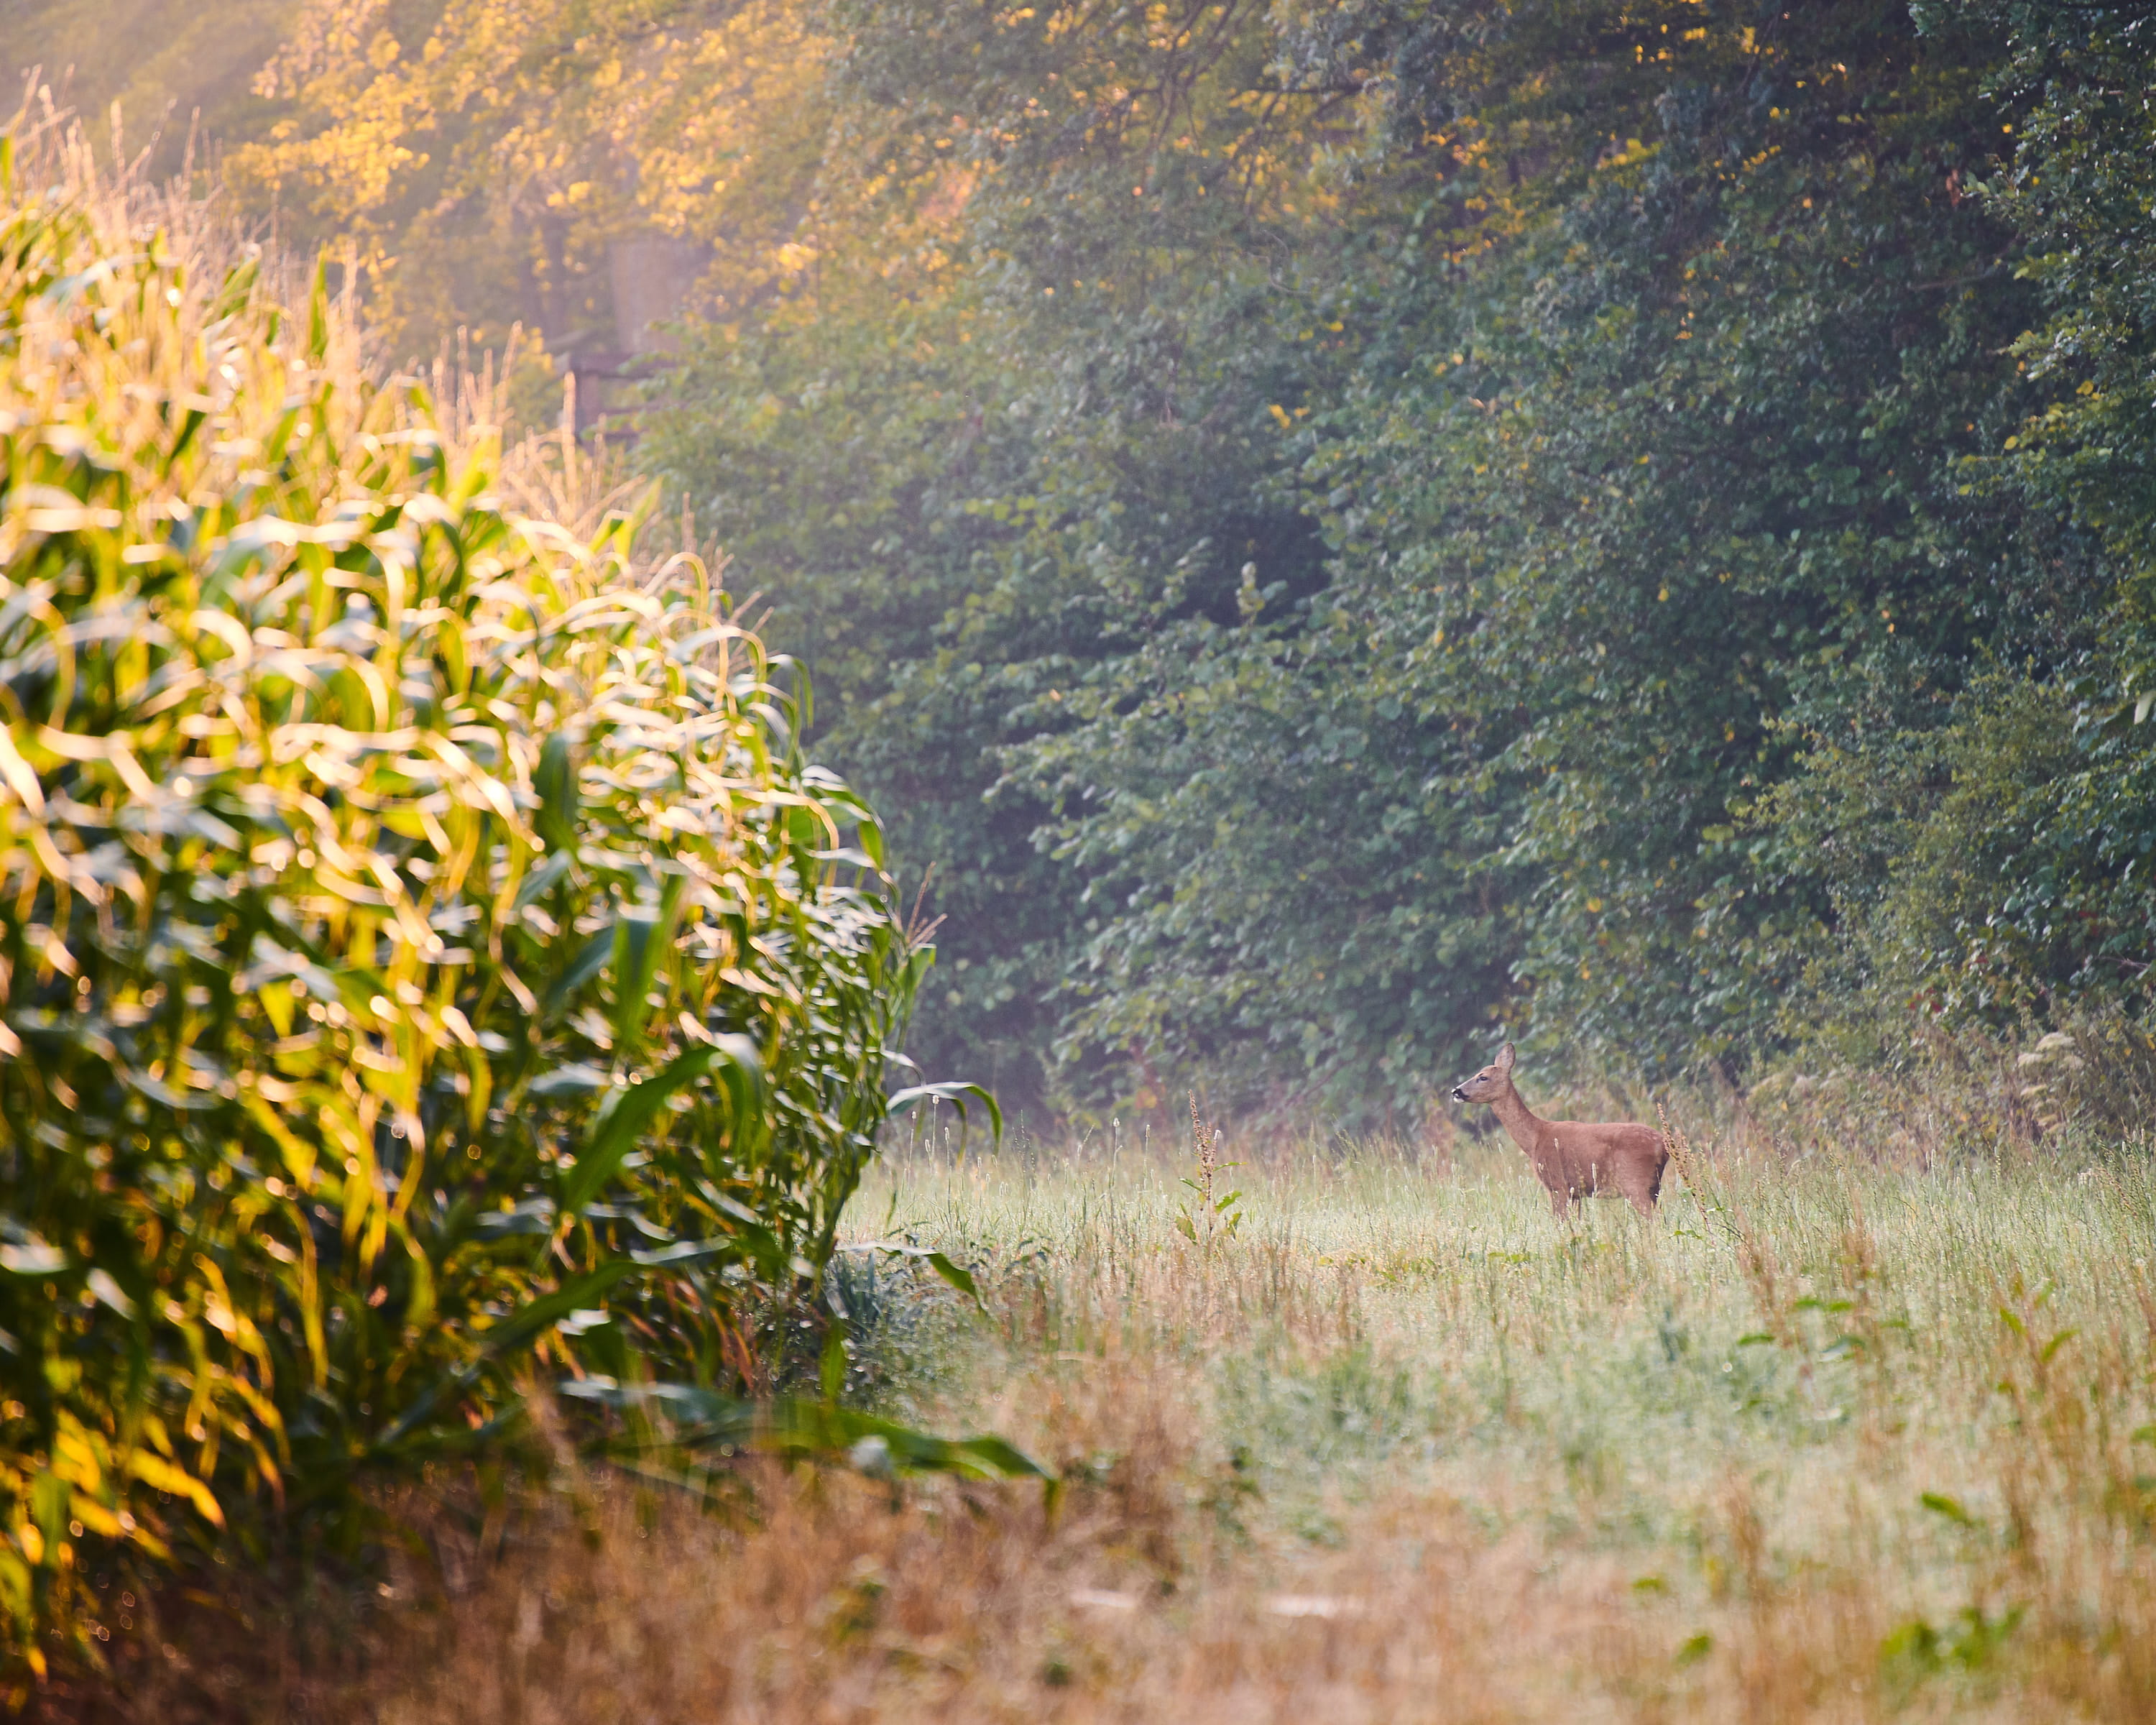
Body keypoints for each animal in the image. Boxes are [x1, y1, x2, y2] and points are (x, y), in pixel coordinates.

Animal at [1449, 1043, 1669, 1217]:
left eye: (1483, 1077)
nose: (1456, 1091)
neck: (1534, 1138)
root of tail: (1662, 1145)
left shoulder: (1557, 1185)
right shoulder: (1575, 1192)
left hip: (1635, 1180)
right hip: (1653, 1186)